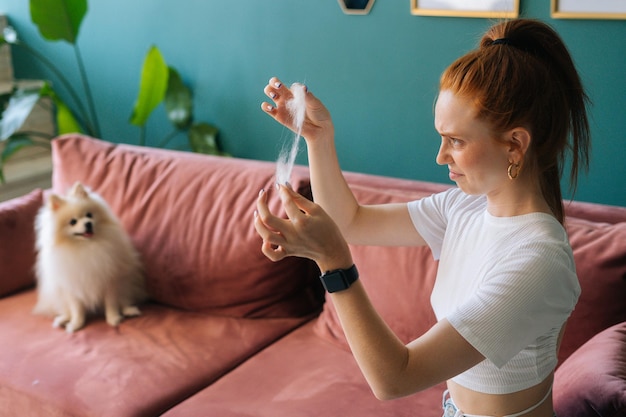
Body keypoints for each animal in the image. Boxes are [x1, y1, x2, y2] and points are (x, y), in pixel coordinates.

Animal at [34, 182, 146, 332]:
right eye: (73, 222)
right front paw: (76, 324)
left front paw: (113, 319)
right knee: (66, 310)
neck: (86, 246)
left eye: (89, 215)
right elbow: (77, 309)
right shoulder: (72, 287)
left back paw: (129, 310)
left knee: (124, 299)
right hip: (59, 295)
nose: (88, 223)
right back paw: (62, 319)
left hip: (126, 283)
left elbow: (111, 303)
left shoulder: (110, 280)